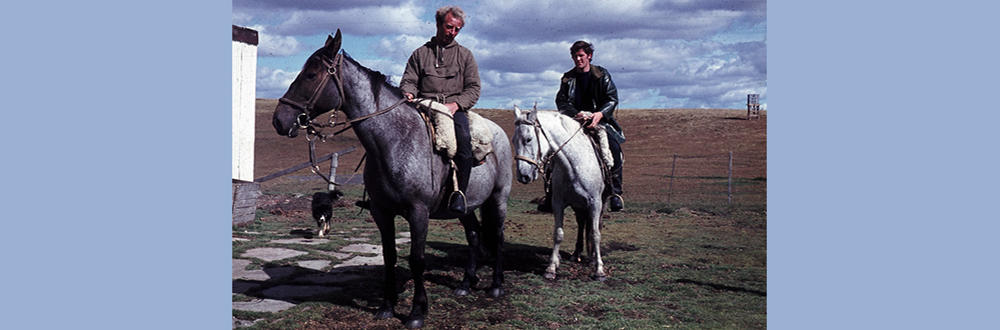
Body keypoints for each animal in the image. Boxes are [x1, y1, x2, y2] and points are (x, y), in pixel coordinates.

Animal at [272, 30, 512, 328]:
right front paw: (386, 306)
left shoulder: (418, 213)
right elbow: (389, 256)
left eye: (311, 75)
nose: (279, 120)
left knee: (498, 236)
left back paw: (496, 285)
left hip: (499, 198)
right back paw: (466, 283)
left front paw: (417, 312)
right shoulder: (381, 212)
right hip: (465, 207)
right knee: (474, 234)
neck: (395, 140)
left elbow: (417, 259)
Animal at [516, 105, 608, 282]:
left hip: (601, 204)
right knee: (581, 223)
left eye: (529, 139)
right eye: (512, 140)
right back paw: (576, 254)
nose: (523, 176)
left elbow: (595, 234)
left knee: (596, 226)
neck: (574, 165)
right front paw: (551, 268)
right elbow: (558, 234)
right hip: (579, 206)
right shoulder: (558, 203)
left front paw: (599, 271)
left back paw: (593, 258)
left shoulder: (595, 203)